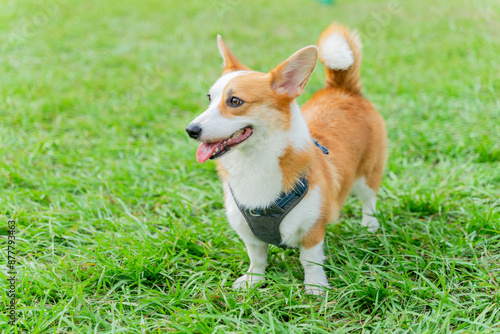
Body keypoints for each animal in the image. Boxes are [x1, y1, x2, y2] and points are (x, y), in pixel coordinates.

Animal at [188, 24, 386, 294]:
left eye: (235, 101)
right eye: (209, 99)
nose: (190, 130)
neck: (255, 161)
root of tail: (343, 89)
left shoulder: (313, 227)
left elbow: (310, 260)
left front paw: (315, 287)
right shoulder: (247, 230)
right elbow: (257, 257)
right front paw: (252, 280)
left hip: (367, 175)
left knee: (369, 200)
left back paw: (369, 226)